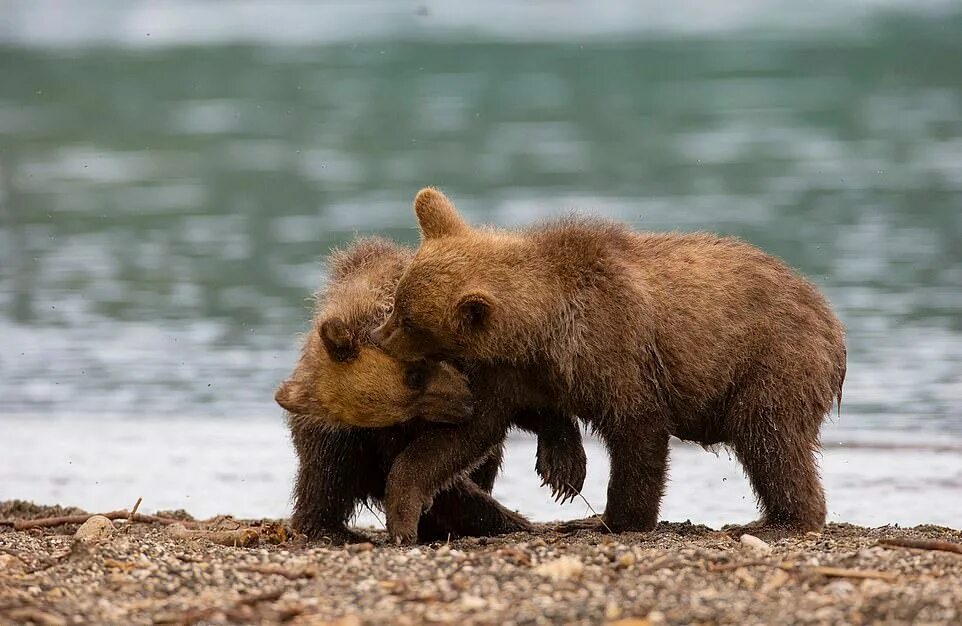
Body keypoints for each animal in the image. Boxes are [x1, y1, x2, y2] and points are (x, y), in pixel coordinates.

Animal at [275, 237, 587, 544]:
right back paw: (331, 529)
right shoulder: (377, 432)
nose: (464, 404)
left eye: (415, 375)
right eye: (404, 415)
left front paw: (561, 464)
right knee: (326, 471)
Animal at [372, 188, 847, 542]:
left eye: (408, 320)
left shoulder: (616, 350)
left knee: (768, 437)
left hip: (773, 359)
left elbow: (638, 432)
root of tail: (830, 318)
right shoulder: (505, 374)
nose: (376, 335)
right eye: (398, 302)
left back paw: (782, 520)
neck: (543, 332)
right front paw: (403, 512)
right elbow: (461, 436)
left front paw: (614, 519)